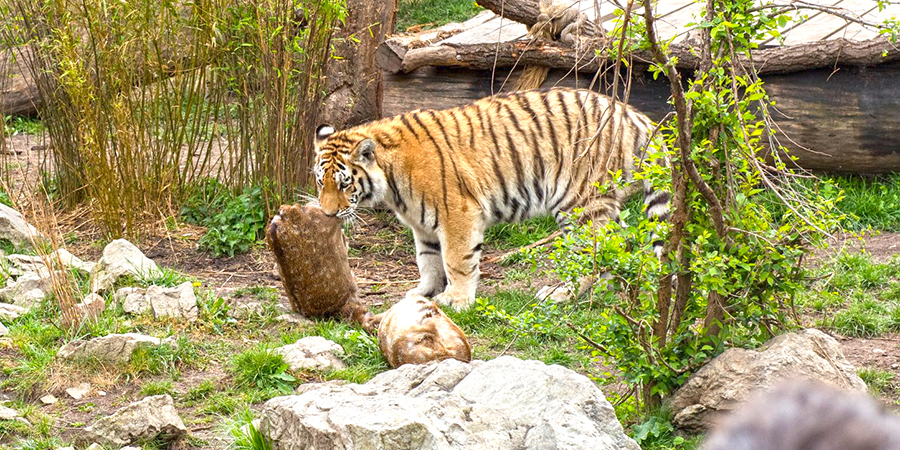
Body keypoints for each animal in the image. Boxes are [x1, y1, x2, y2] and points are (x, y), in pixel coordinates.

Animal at [312, 86, 672, 312]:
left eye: (344, 184)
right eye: (320, 182)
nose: (328, 215)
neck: (390, 182)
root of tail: (633, 115)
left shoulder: (457, 212)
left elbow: (456, 260)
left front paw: (456, 300)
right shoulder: (422, 224)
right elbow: (427, 259)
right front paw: (423, 291)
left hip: (579, 203)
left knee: (592, 251)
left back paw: (562, 294)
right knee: (618, 244)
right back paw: (607, 290)